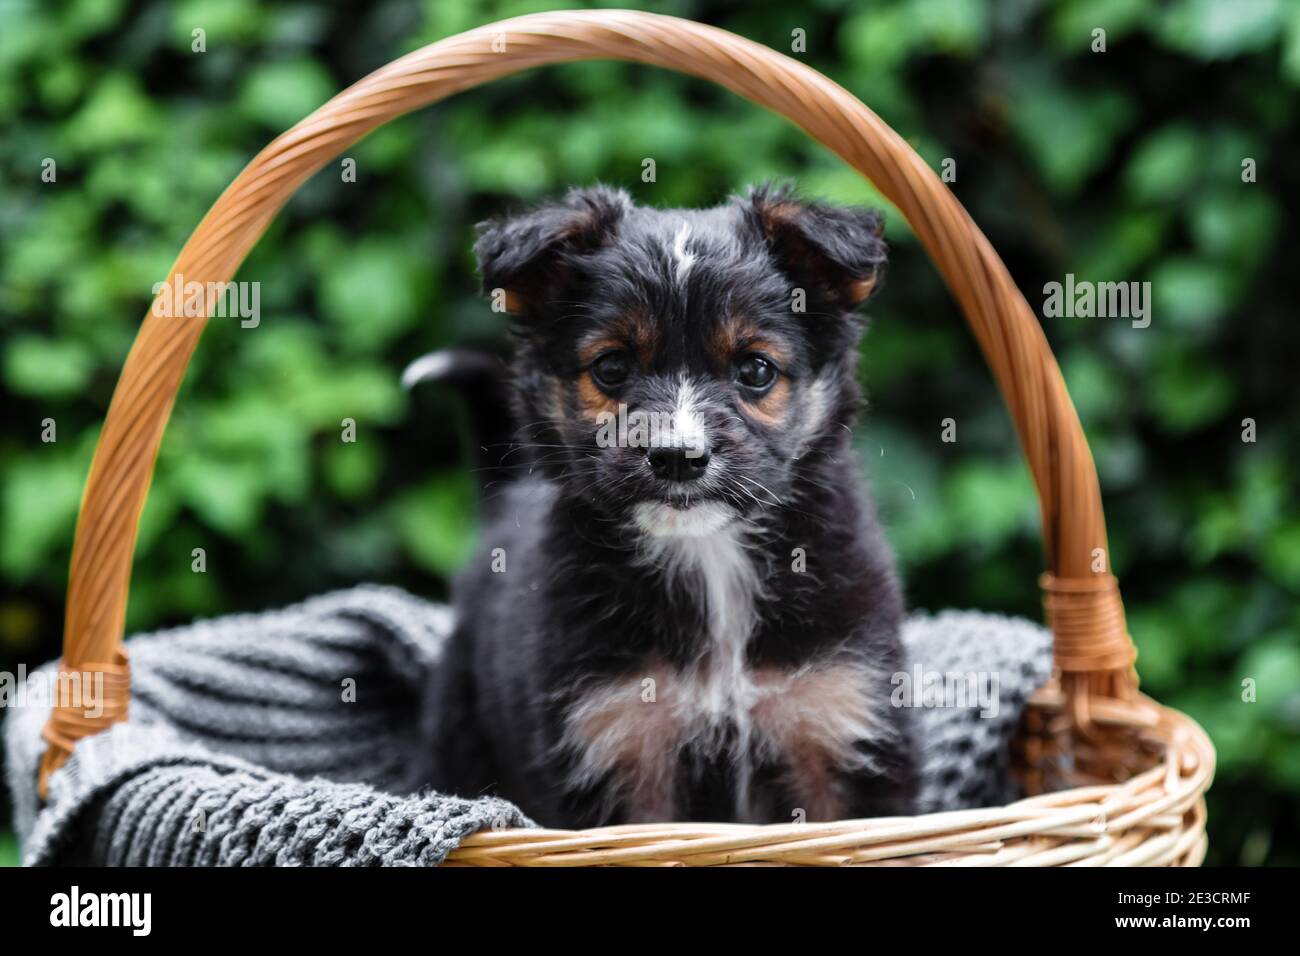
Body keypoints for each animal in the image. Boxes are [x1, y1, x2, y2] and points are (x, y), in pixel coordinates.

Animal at [416, 183, 915, 827]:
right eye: (611, 366)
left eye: (755, 369)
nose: (678, 456)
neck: (710, 557)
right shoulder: (619, 747)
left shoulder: (841, 719)